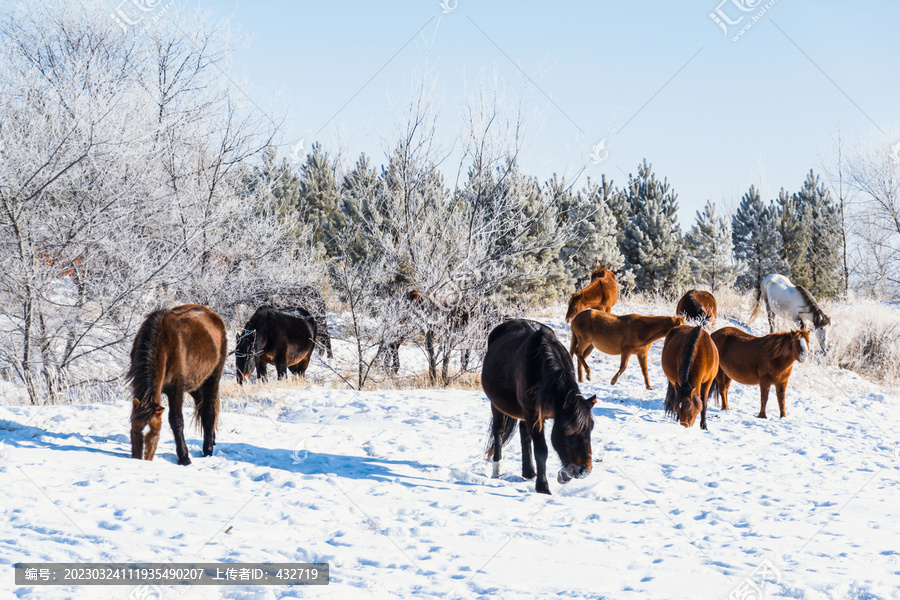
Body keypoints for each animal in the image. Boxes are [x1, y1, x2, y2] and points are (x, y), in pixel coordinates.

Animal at [127, 304, 229, 464]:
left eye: (155, 434)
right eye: (133, 432)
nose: (142, 461)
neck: (164, 341)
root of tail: (213, 315)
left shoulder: (176, 388)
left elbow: (176, 420)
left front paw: (184, 457)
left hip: (212, 379)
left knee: (209, 411)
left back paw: (207, 450)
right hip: (195, 384)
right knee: (202, 407)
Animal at [482, 322, 596, 494]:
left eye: (591, 428)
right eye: (569, 430)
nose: (585, 470)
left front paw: (563, 474)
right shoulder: (534, 414)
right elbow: (541, 451)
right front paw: (543, 486)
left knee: (524, 433)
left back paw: (528, 472)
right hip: (497, 405)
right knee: (498, 432)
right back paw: (498, 470)